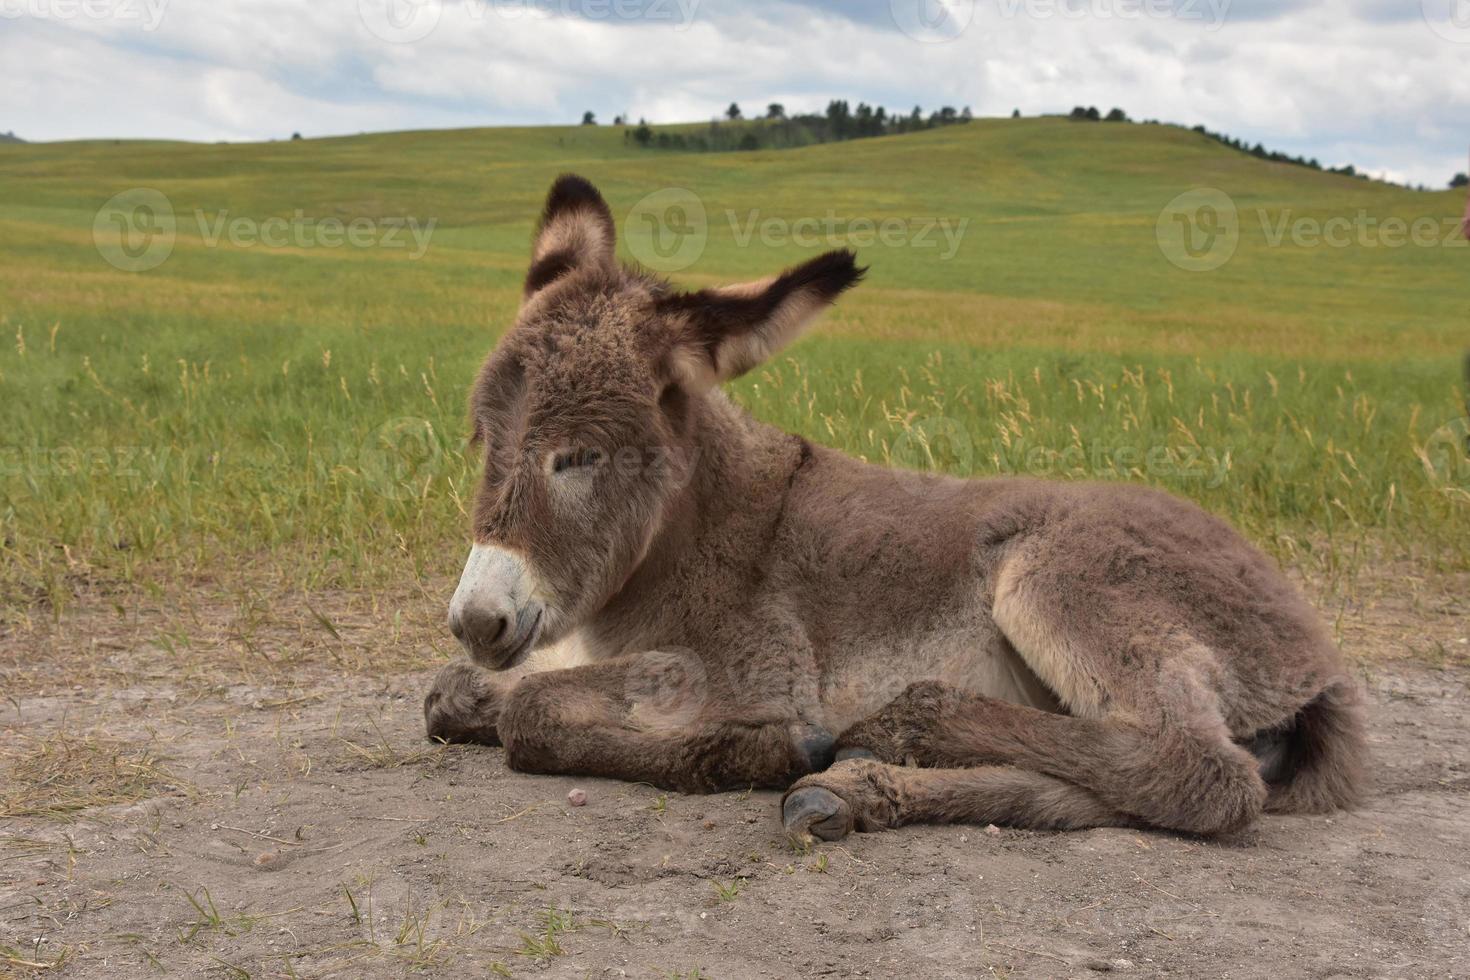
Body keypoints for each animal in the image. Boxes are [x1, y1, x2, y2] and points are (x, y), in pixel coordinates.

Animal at [426, 174, 1364, 846]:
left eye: (579, 457)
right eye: (481, 438)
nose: (478, 620)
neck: (688, 531)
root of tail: (1317, 656)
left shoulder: (749, 668)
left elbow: (531, 714)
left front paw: (764, 747)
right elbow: (450, 695)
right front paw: (473, 693)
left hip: (1065, 577)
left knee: (1201, 771)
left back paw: (894, 730)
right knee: (1120, 787)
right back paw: (855, 787)